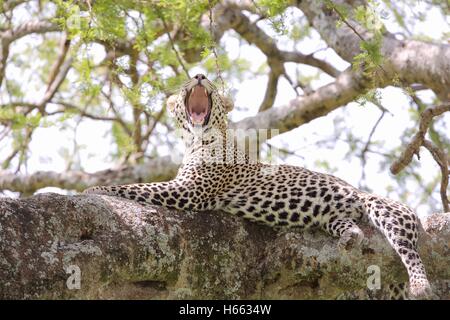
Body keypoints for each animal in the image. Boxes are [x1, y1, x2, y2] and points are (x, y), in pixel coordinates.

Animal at [84, 74, 432, 298]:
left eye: (210, 83)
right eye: (189, 78)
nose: (199, 75)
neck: (196, 141)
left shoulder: (189, 190)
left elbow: (135, 186)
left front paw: (88, 192)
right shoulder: (185, 186)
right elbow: (138, 186)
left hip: (386, 210)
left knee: (410, 251)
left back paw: (420, 285)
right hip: (335, 217)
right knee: (350, 226)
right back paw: (351, 236)